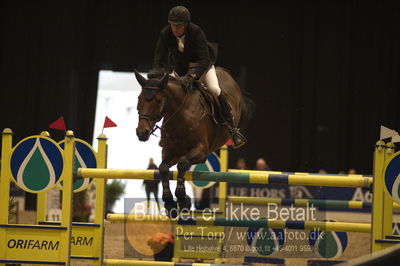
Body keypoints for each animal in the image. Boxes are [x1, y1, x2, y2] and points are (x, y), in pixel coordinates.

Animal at [134, 67, 253, 217]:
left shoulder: (201, 151)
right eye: (139, 99)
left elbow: (182, 164)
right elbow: (163, 168)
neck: (181, 116)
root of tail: (223, 71)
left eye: (159, 101)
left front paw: (182, 199)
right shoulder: (170, 151)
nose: (142, 132)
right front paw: (169, 202)